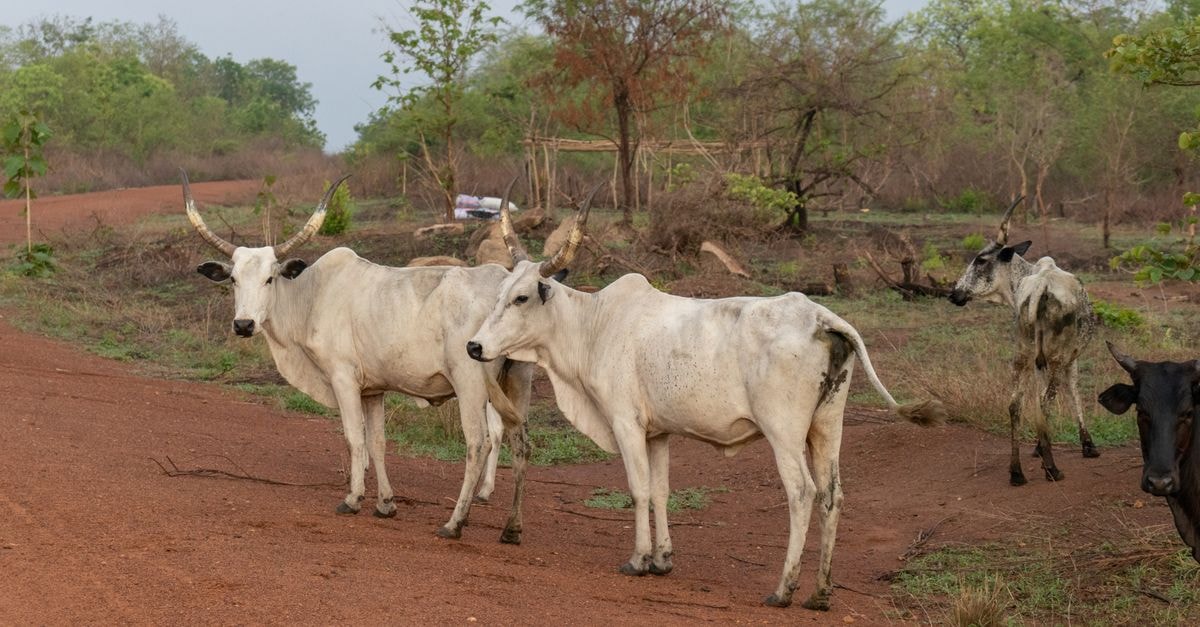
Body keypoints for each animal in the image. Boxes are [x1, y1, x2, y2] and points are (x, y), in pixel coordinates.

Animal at [183, 172, 583, 544]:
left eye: (269, 278)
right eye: (233, 280)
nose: (243, 324)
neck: (311, 295)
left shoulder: (343, 378)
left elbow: (354, 437)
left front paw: (353, 499)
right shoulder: (372, 390)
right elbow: (377, 442)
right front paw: (386, 503)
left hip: (471, 382)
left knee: (478, 442)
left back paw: (455, 522)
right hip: (518, 379)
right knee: (521, 441)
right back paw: (512, 528)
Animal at [464, 202, 943, 609]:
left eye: (522, 297)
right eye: (499, 293)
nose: (474, 346)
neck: (594, 324)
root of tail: (820, 317)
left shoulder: (625, 423)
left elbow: (638, 489)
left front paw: (638, 560)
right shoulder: (657, 432)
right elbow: (660, 491)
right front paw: (662, 560)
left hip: (784, 432)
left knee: (802, 493)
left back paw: (784, 589)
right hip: (827, 428)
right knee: (832, 495)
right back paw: (821, 593)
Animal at [948, 198, 1099, 486]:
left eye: (981, 260)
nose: (954, 293)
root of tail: (1040, 287)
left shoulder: (1039, 361)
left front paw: (1040, 445)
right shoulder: (1071, 358)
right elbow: (1073, 391)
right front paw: (1087, 445)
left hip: (1022, 355)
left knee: (1015, 404)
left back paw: (1016, 472)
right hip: (1056, 356)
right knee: (1046, 400)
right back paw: (1051, 468)